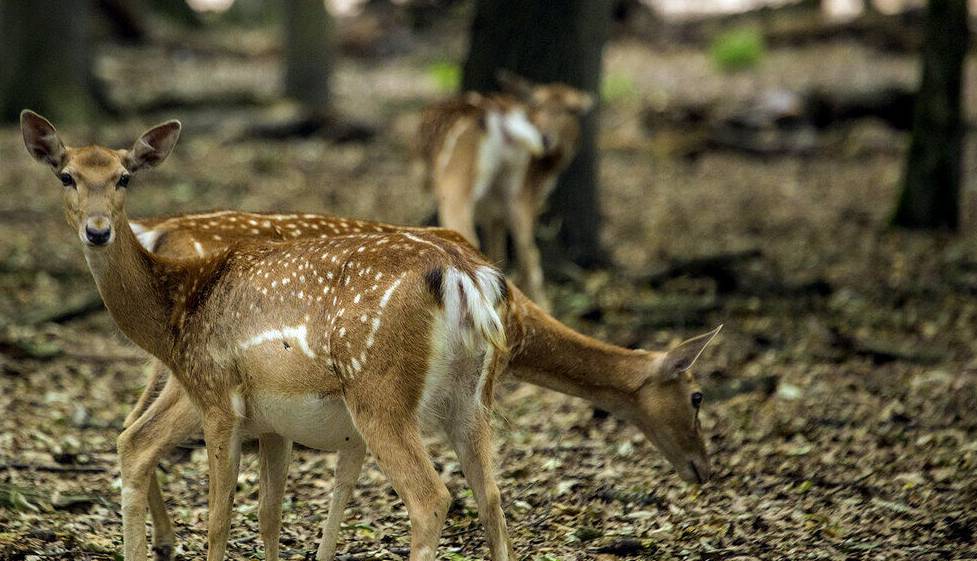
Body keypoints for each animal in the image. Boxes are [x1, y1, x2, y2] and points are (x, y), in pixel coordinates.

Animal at [19, 110, 516, 560]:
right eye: (66, 176)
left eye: (124, 178)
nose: (97, 230)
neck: (178, 310)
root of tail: (466, 278)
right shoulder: (274, 422)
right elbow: (268, 514)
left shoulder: (216, 394)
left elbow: (219, 520)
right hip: (473, 395)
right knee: (491, 497)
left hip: (380, 389)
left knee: (430, 498)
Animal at [120, 211, 716, 560]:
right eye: (697, 396)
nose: (704, 469)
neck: (522, 332)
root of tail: (157, 233)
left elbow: (338, 488)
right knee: (138, 433)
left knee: (130, 428)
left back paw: (165, 541)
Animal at [414, 70, 592, 310]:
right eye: (537, 105)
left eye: (572, 110)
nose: (546, 138)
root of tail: (501, 119)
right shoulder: (504, 209)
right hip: (494, 190)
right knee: (525, 253)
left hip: (463, 186)